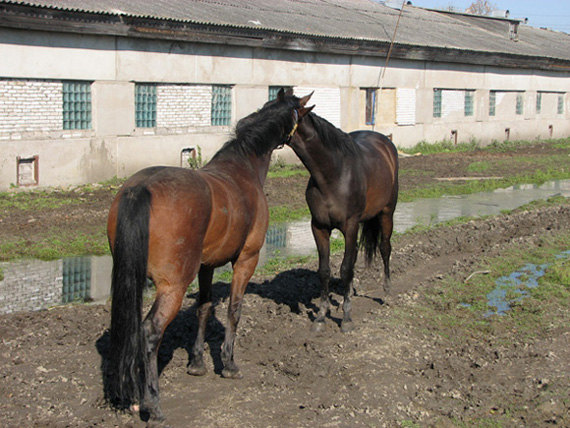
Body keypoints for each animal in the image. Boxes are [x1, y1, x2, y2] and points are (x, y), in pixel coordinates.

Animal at [105, 89, 312, 422]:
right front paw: (228, 364)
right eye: (299, 112)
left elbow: (203, 308)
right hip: (173, 287)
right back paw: (153, 404)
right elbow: (234, 310)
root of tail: (139, 189)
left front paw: (197, 363)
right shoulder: (246, 260)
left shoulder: (206, 266)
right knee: (150, 332)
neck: (243, 168)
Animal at [286, 106, 398, 332]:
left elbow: (345, 268)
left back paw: (387, 291)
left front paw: (346, 318)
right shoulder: (319, 227)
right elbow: (325, 270)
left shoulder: (350, 225)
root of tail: (386, 143)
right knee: (355, 256)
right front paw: (321, 316)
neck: (332, 175)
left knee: (384, 248)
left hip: (387, 212)